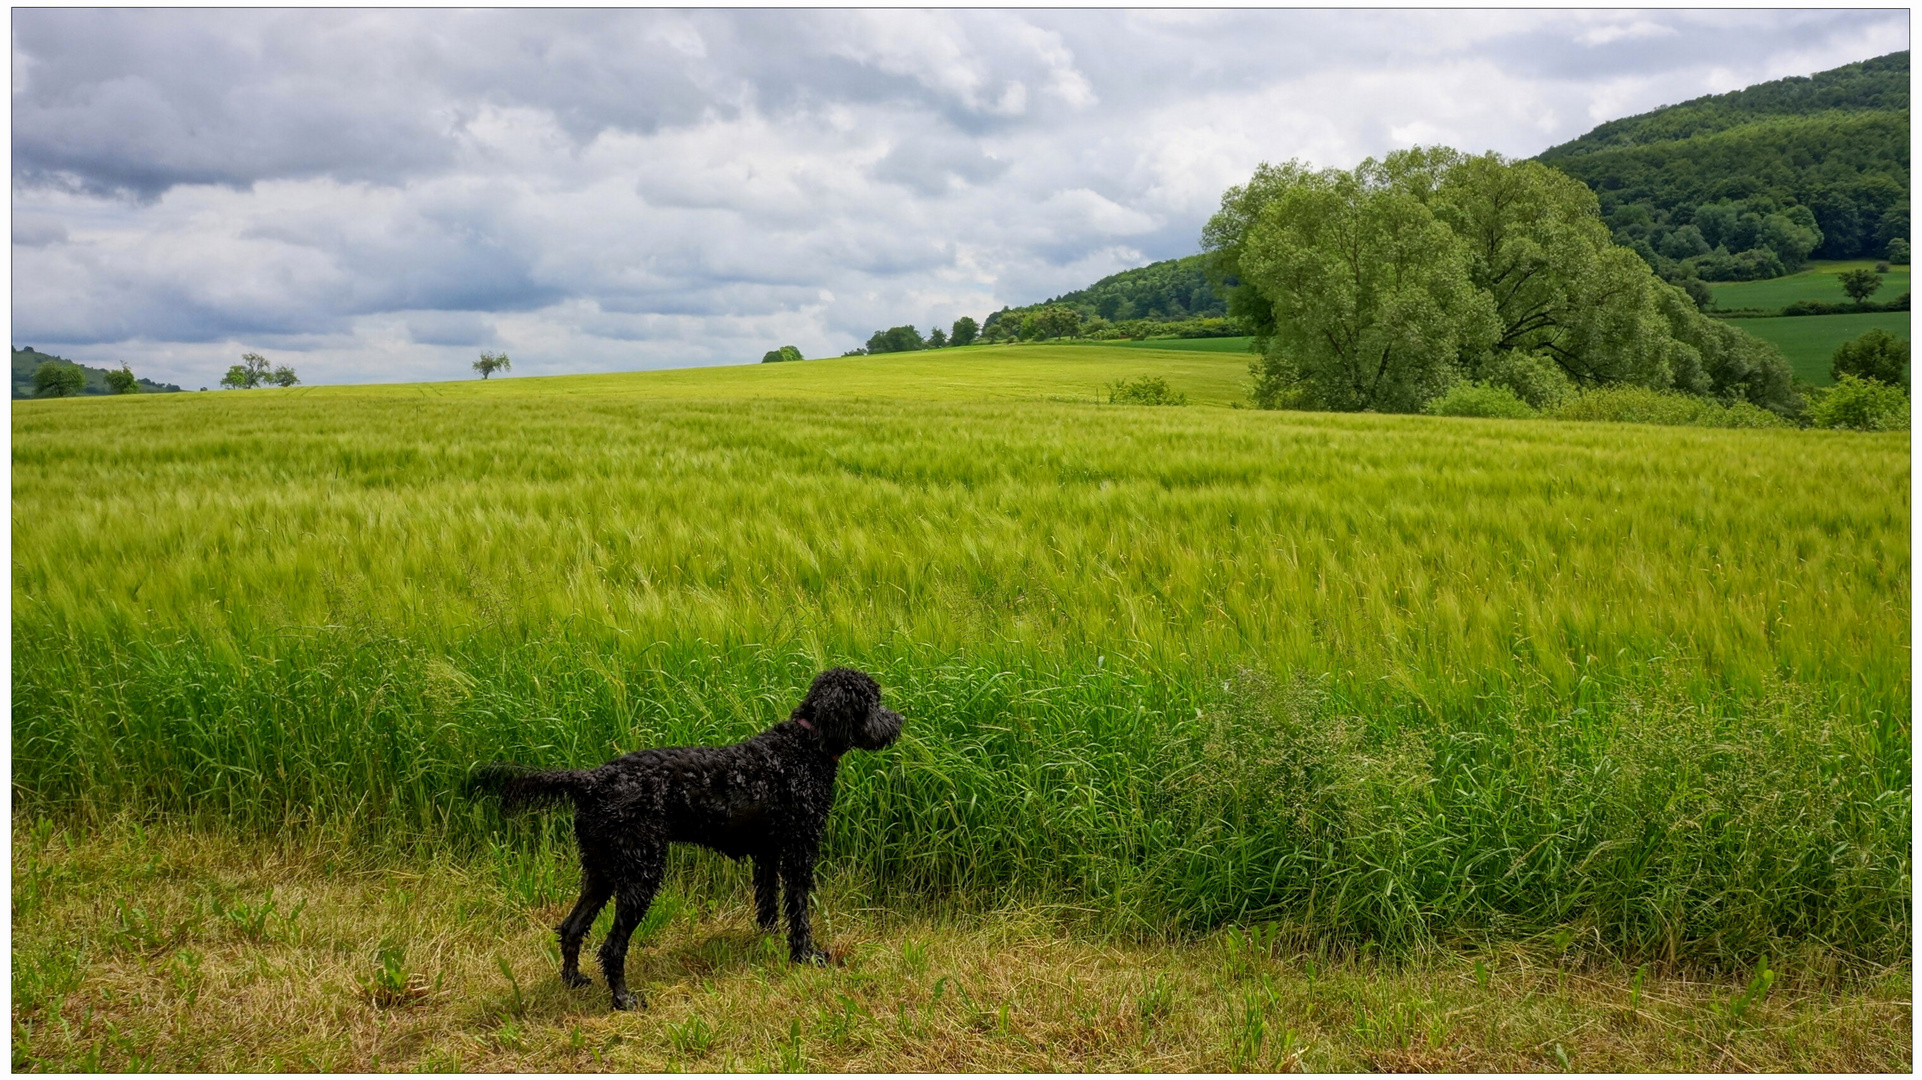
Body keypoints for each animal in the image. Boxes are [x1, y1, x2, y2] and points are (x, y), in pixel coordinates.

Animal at [472, 664, 907, 1006]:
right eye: (871, 702)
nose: (900, 720)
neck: (803, 745)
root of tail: (594, 779)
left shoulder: (766, 855)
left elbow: (767, 907)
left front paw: (765, 943)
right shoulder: (799, 850)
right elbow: (798, 911)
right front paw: (806, 955)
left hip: (601, 870)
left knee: (572, 927)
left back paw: (573, 980)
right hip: (641, 872)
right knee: (612, 946)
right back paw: (623, 999)